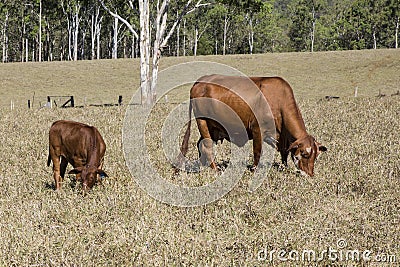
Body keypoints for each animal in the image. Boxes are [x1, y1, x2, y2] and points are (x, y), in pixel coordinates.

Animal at [177, 74, 326, 177]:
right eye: (304, 153)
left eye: (316, 156)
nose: (310, 175)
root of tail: (201, 81)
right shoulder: (257, 131)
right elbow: (257, 152)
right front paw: (254, 170)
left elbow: (284, 153)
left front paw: (284, 167)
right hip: (202, 121)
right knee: (207, 147)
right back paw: (215, 169)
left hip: (212, 127)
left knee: (200, 144)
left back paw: (203, 166)